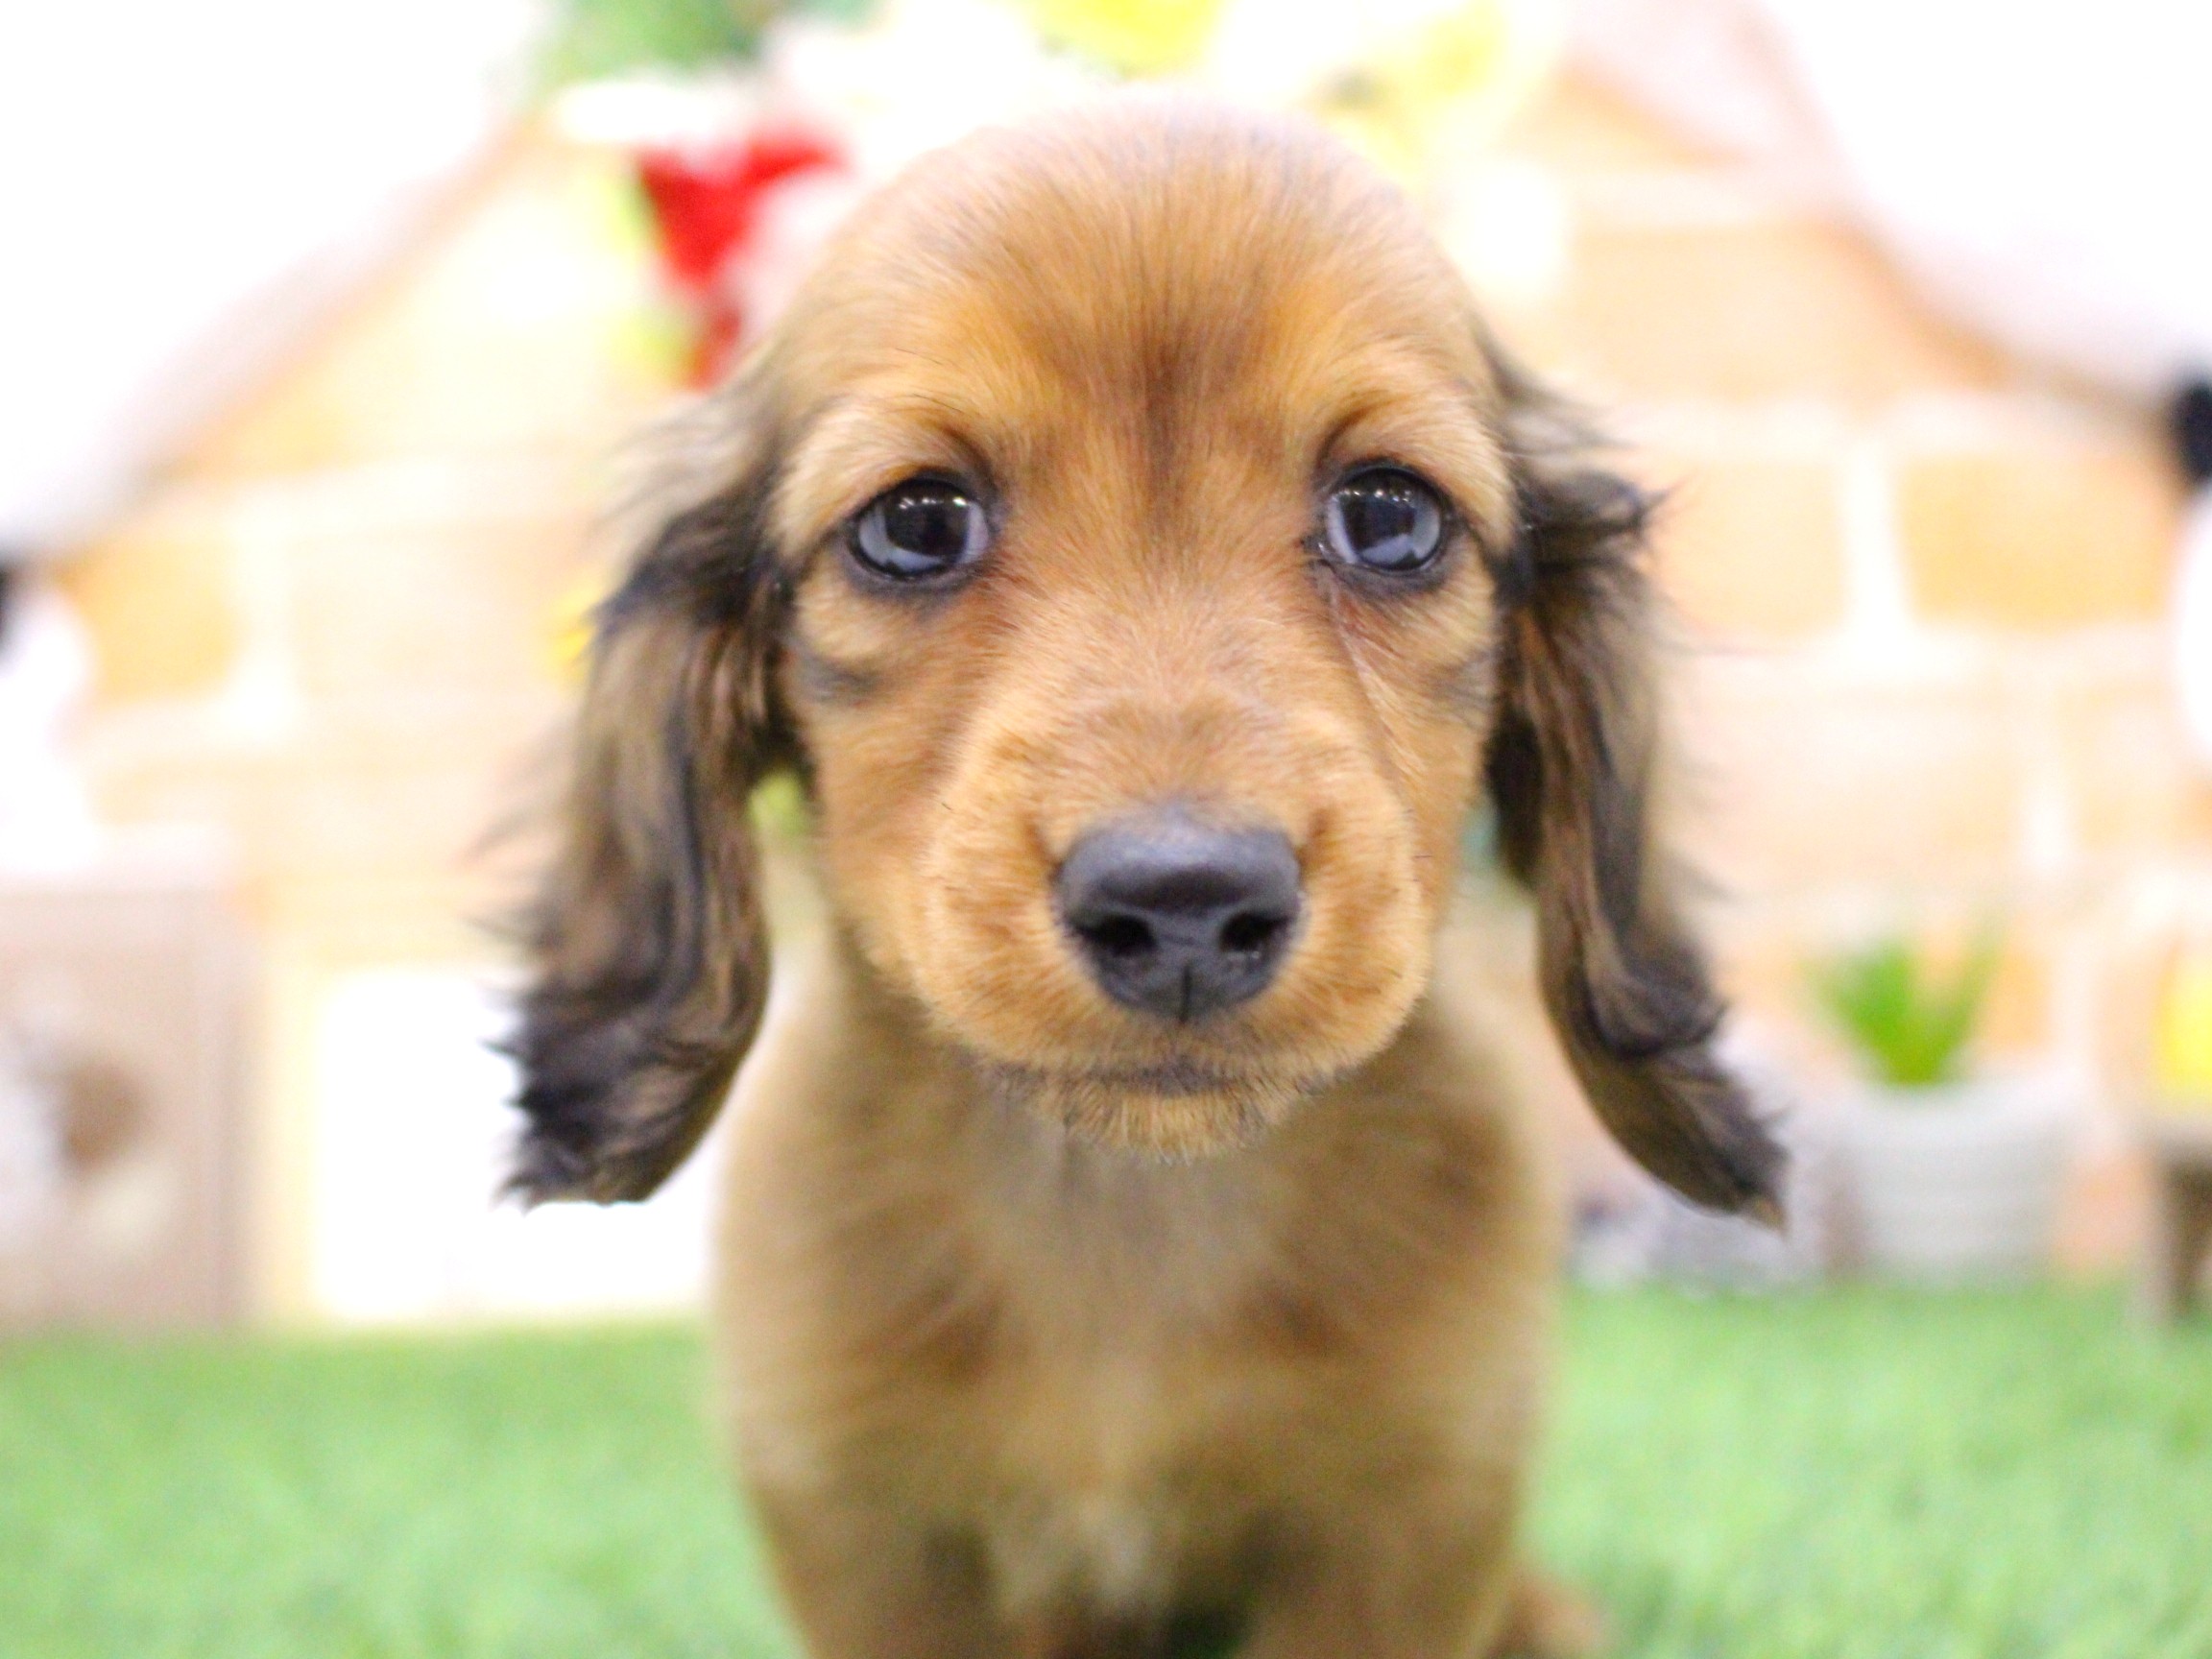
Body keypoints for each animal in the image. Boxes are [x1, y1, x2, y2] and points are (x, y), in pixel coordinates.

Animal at [509, 99, 1782, 1659]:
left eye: (1390, 518)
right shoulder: (867, 1536)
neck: (1124, 1218)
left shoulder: (1410, 1526)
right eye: (916, 524)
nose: (1184, 902)